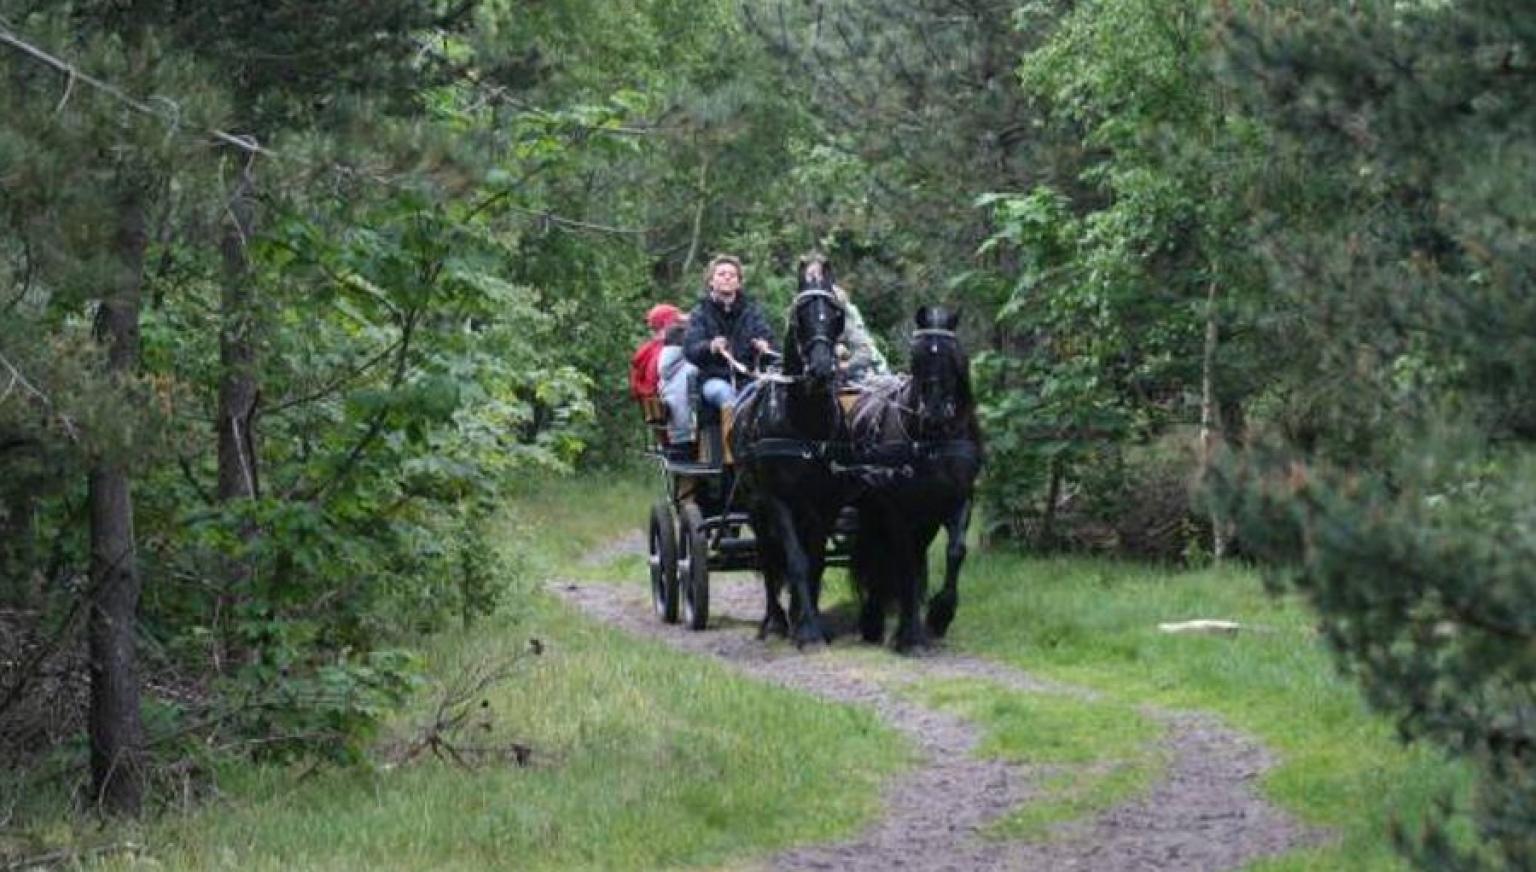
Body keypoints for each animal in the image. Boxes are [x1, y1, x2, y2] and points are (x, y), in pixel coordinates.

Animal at [734, 254, 854, 644]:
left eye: (836, 315)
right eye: (800, 314)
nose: (821, 369)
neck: (805, 421)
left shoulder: (827, 501)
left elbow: (815, 561)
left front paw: (810, 621)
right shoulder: (778, 500)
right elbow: (795, 561)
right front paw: (807, 630)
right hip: (755, 506)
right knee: (768, 557)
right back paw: (773, 620)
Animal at [847, 302, 976, 650]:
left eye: (953, 354)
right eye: (917, 354)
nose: (934, 410)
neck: (933, 439)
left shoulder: (959, 498)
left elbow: (955, 552)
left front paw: (940, 614)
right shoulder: (898, 507)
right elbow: (903, 563)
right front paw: (910, 635)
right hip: (873, 508)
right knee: (880, 552)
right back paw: (873, 619)